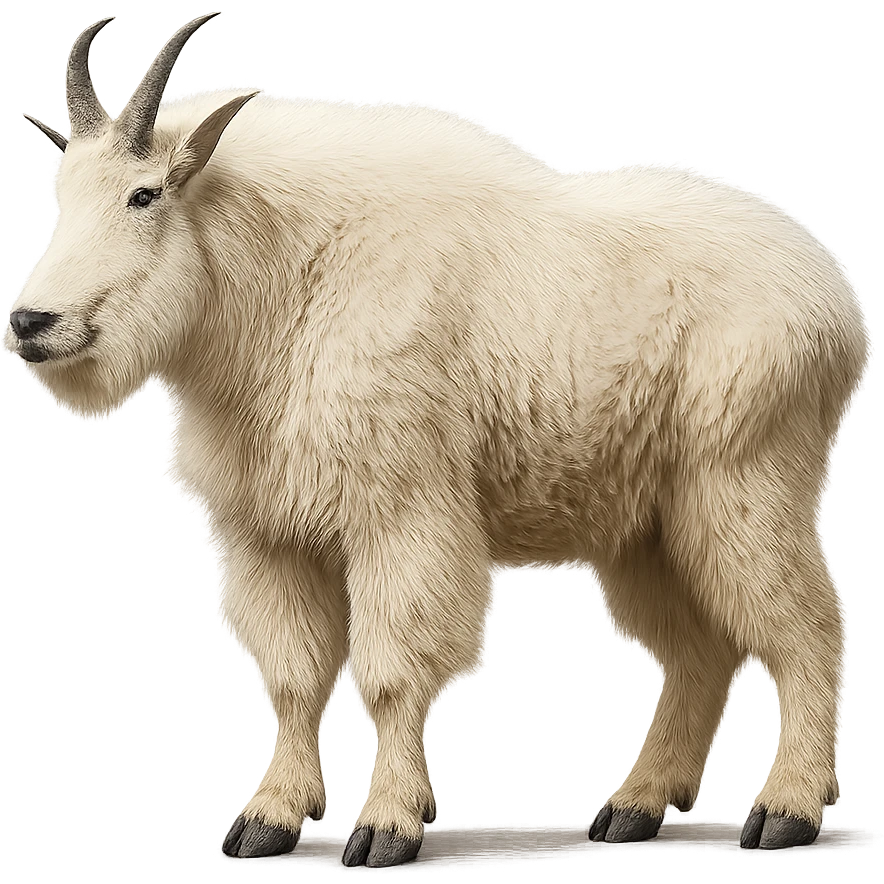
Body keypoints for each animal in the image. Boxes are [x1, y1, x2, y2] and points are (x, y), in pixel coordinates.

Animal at [8, 13, 872, 866]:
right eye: (59, 197)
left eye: (144, 193)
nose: (31, 322)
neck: (286, 285)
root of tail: (838, 297)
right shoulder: (268, 534)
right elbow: (292, 676)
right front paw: (269, 821)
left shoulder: (399, 514)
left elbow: (390, 673)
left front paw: (388, 826)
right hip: (647, 526)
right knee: (699, 651)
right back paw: (635, 806)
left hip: (742, 481)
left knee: (808, 627)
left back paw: (787, 811)